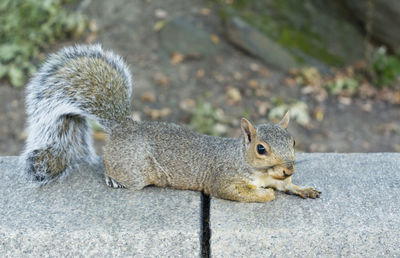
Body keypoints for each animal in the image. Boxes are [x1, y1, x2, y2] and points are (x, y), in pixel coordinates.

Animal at [22, 43, 322, 202]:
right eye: (261, 149)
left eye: (293, 141)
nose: (288, 169)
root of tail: (124, 127)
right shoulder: (223, 179)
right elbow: (236, 191)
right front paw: (265, 195)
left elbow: (287, 186)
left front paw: (303, 188)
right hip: (134, 171)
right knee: (113, 170)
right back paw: (112, 179)